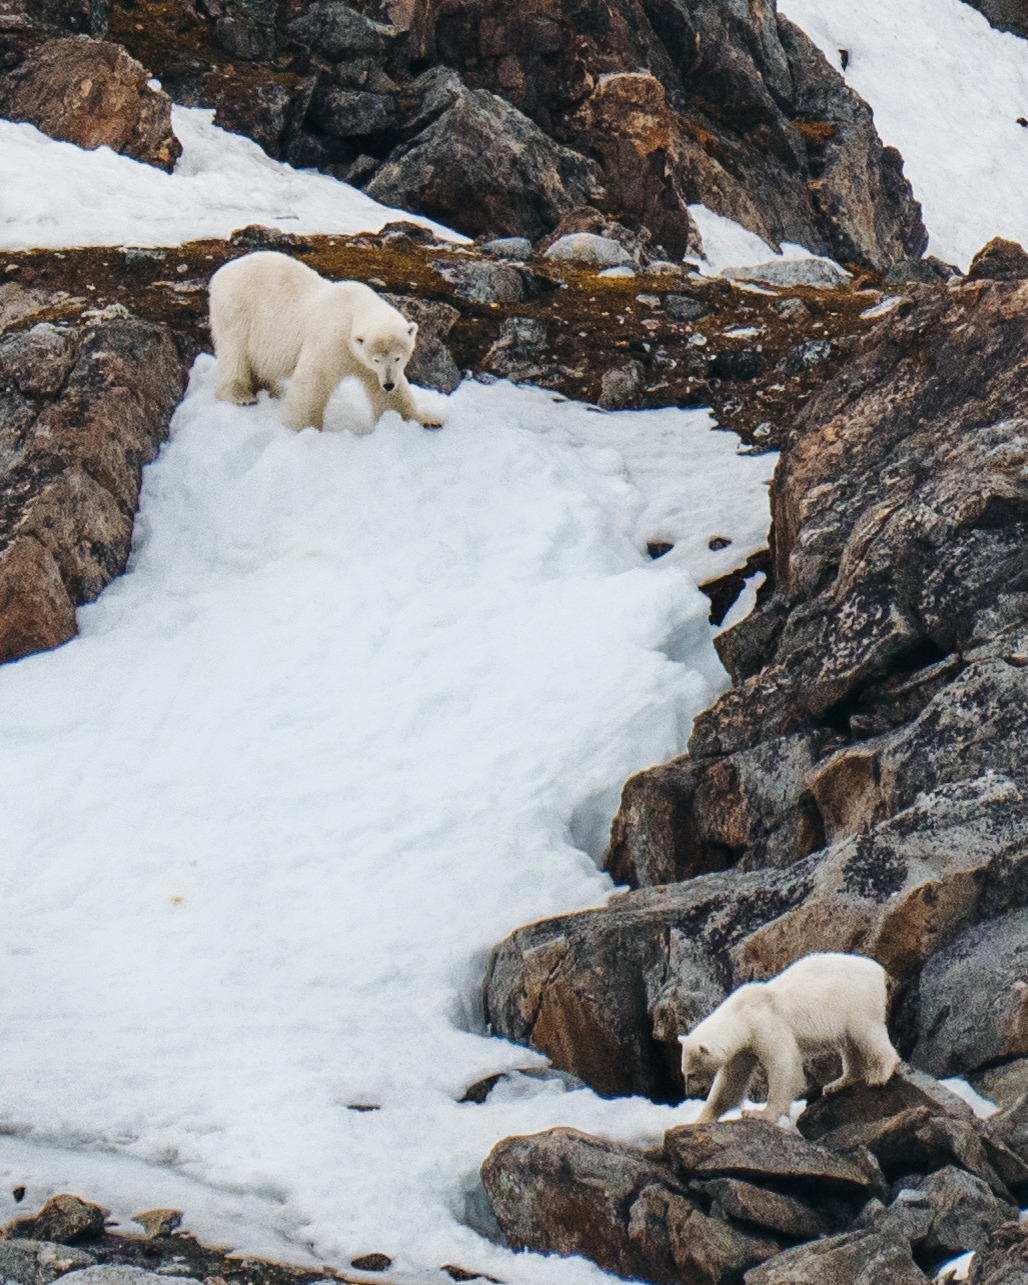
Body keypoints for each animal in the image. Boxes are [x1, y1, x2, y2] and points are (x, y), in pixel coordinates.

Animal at [208, 250, 443, 432]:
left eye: (398, 358)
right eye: (376, 359)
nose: (388, 384)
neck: (352, 309)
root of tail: (222, 271)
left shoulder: (362, 360)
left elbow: (391, 397)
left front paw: (428, 421)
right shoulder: (332, 339)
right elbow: (314, 380)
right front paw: (303, 428)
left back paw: (272, 389)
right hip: (237, 310)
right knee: (234, 352)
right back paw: (241, 394)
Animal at [678, 952, 900, 1127]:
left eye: (691, 1074)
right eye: (685, 1073)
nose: (691, 1093)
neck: (742, 1014)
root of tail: (880, 971)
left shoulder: (766, 1026)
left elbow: (783, 1065)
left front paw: (760, 1114)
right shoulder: (744, 1046)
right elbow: (731, 1081)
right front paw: (697, 1120)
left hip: (856, 1001)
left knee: (867, 1032)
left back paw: (880, 1074)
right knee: (848, 1043)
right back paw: (839, 1083)